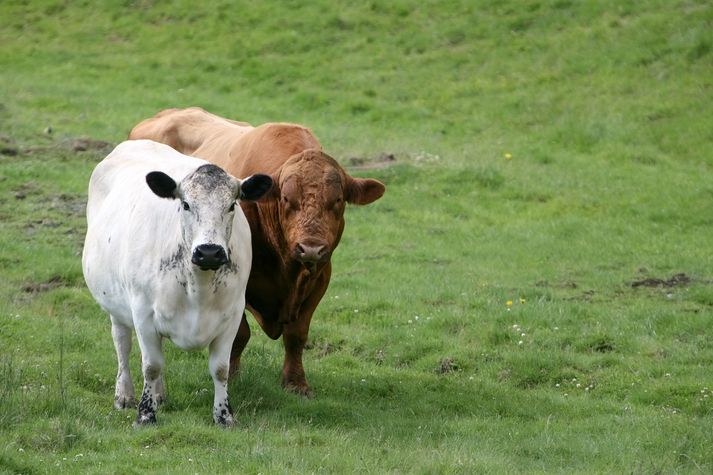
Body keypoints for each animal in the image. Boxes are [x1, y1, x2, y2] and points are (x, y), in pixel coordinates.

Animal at [82, 139, 272, 426]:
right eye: (185, 204)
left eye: (232, 205)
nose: (209, 251)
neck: (199, 288)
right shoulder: (143, 312)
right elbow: (151, 366)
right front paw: (145, 414)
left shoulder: (232, 314)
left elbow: (221, 369)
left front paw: (223, 416)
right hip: (116, 306)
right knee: (123, 345)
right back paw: (124, 394)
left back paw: (159, 395)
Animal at [128, 109, 384, 398]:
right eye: (287, 199)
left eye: (337, 200)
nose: (311, 248)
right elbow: (239, 335)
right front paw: (232, 376)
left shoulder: (320, 278)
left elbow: (297, 336)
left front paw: (296, 382)